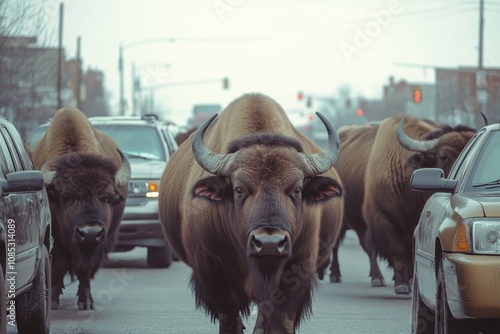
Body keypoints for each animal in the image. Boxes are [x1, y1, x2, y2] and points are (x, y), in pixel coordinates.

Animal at [30, 107, 130, 310]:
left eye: (107, 197)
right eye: (66, 197)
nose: (90, 232)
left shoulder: (99, 244)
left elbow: (86, 269)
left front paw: (86, 302)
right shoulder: (56, 240)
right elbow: (59, 265)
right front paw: (53, 301)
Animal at [159, 92, 344, 332]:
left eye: (297, 189)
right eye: (239, 189)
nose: (269, 243)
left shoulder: (298, 270)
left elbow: (280, 320)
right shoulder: (210, 272)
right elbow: (229, 319)